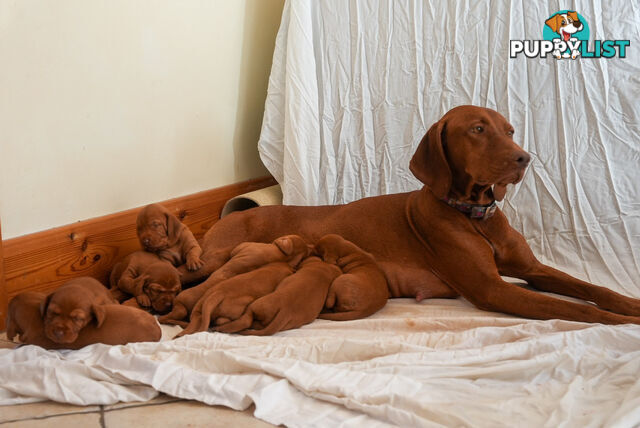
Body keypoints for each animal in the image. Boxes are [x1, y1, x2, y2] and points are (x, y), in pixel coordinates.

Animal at [178, 106, 640, 324]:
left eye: (509, 130)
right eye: (477, 129)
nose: (524, 158)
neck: (475, 215)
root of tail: (231, 213)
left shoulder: (532, 270)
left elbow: (593, 289)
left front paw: (630, 304)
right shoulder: (493, 289)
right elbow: (579, 309)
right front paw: (619, 324)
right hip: (214, 260)